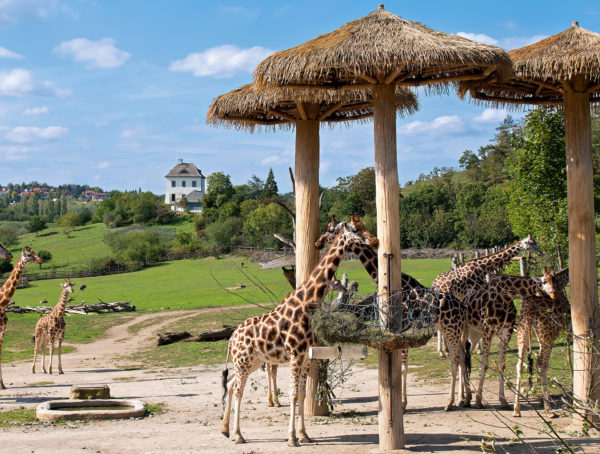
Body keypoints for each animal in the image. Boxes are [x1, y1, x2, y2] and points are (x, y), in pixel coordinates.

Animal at [0, 247, 43, 388]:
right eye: (29, 254)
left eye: (35, 253)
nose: (41, 259)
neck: (1, 304)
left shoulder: (3, 330)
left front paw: (2, 385)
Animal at [220, 218, 380, 446]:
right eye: (356, 229)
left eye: (365, 225)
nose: (374, 240)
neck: (308, 300)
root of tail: (232, 338)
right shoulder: (295, 354)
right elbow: (294, 394)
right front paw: (291, 438)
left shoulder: (306, 356)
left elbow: (303, 395)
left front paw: (304, 435)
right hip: (243, 361)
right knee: (239, 390)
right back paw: (238, 435)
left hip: (252, 361)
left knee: (231, 384)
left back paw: (225, 430)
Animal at [316, 216, 472, 412]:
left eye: (331, 230)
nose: (318, 242)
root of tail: (463, 308)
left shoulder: (403, 328)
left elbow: (403, 367)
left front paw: (403, 404)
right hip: (453, 330)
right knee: (462, 358)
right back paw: (464, 399)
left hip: (451, 330)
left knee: (455, 359)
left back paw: (450, 402)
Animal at [462, 272, 556, 410]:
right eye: (544, 281)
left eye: (554, 280)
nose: (554, 294)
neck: (505, 295)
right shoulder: (488, 330)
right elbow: (484, 364)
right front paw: (478, 401)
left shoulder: (507, 330)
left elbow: (502, 364)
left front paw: (503, 400)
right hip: (464, 333)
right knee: (461, 360)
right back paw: (462, 399)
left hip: (474, 336)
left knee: (465, 358)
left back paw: (467, 397)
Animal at [512, 268, 568, 416]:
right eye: (544, 281)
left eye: (553, 280)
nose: (553, 294)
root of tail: (529, 309)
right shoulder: (564, 332)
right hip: (546, 336)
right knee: (541, 364)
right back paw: (548, 407)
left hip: (522, 333)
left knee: (520, 364)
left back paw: (516, 409)